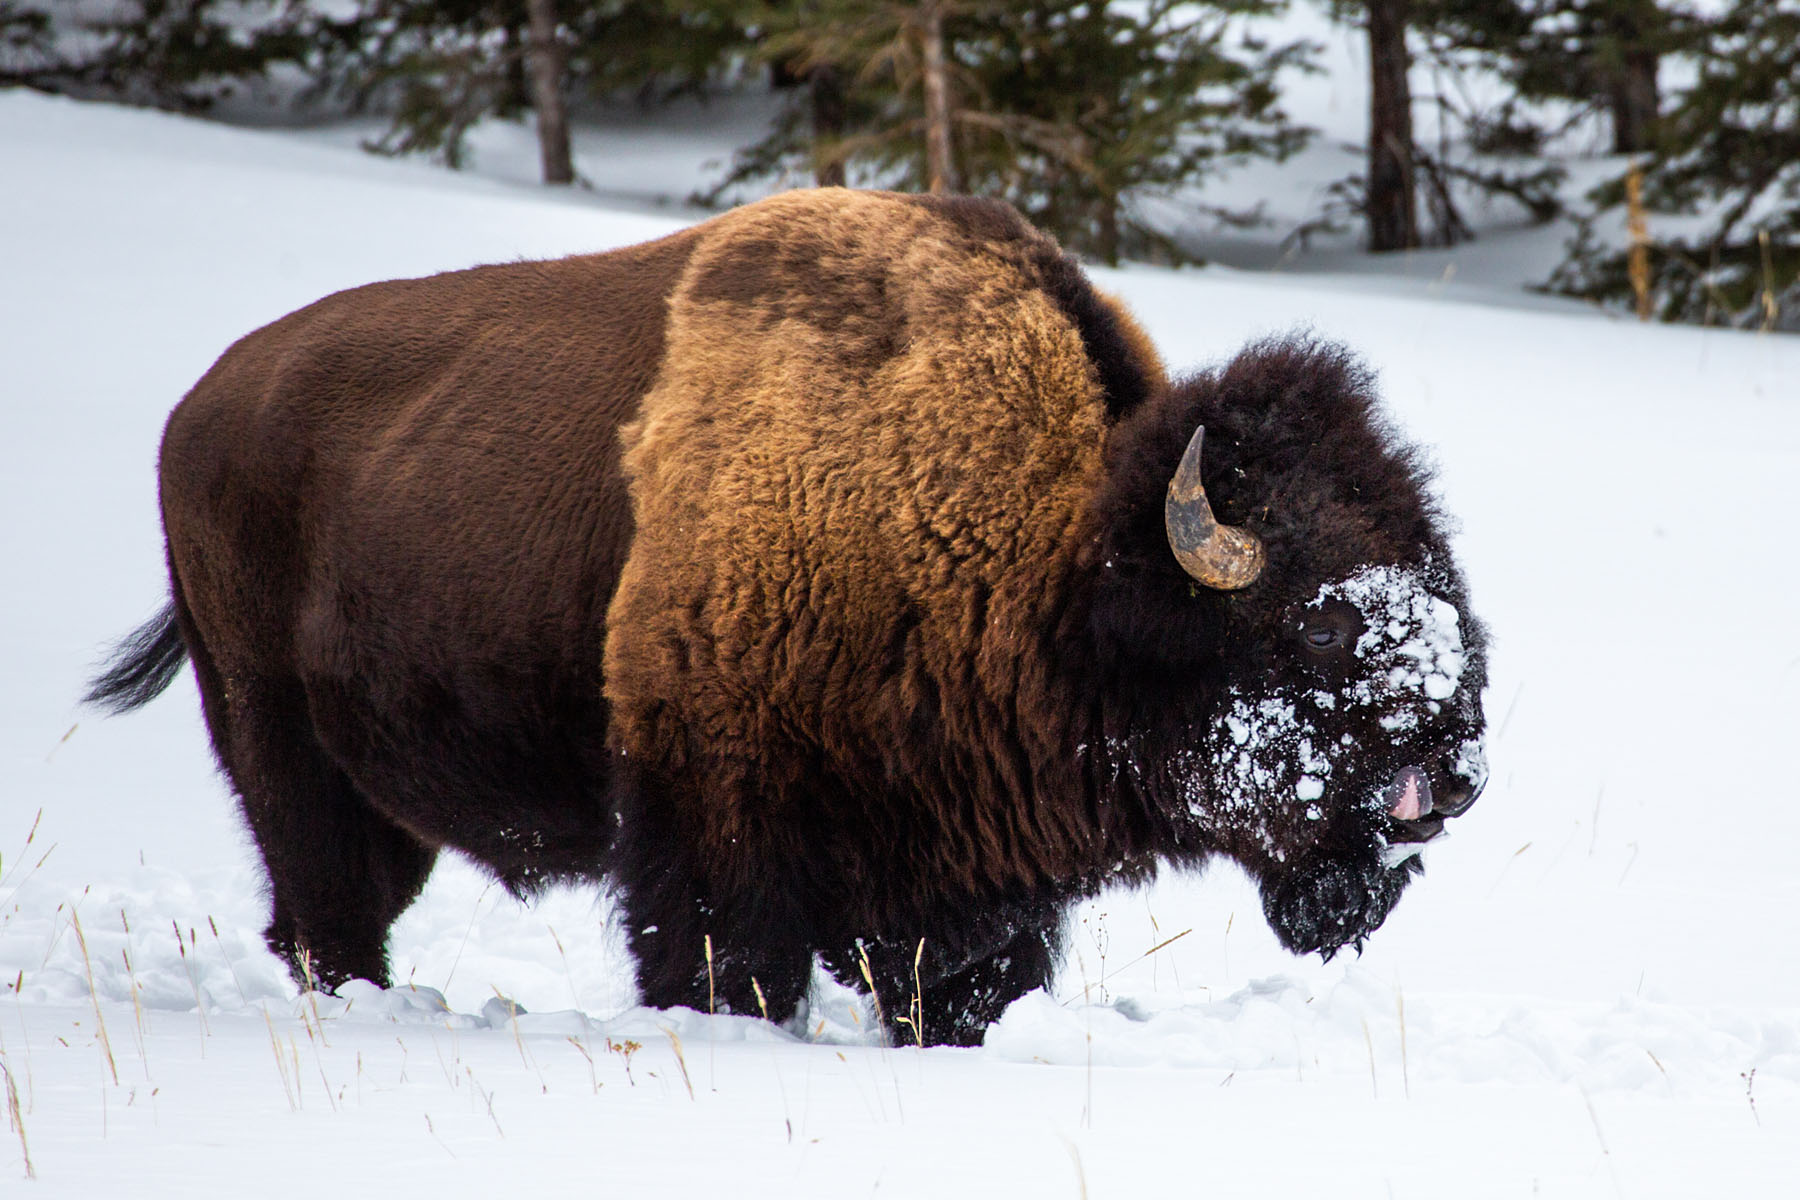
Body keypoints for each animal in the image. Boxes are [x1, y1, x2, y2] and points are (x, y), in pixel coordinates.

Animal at [90, 189, 1488, 1046]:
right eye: (1320, 626)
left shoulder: (965, 894)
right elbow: (725, 971)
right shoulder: (714, 833)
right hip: (274, 748)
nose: (1456, 775)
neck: (1057, 553)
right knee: (325, 913)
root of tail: (195, 411)